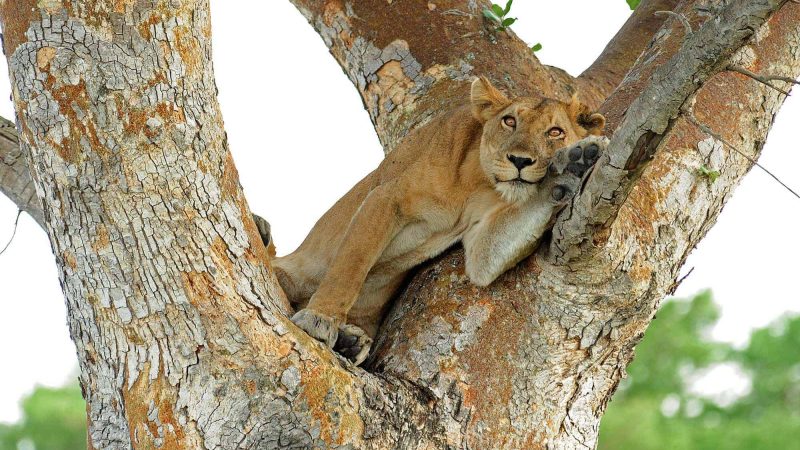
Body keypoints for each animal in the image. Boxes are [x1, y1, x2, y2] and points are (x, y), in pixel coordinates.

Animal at [255, 77, 608, 365]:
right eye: (510, 121)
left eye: (555, 132)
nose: (519, 160)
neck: (477, 182)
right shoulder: (386, 198)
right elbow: (350, 269)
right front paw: (320, 320)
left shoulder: (482, 247)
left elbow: (495, 248)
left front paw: (573, 166)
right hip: (288, 269)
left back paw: (350, 342)